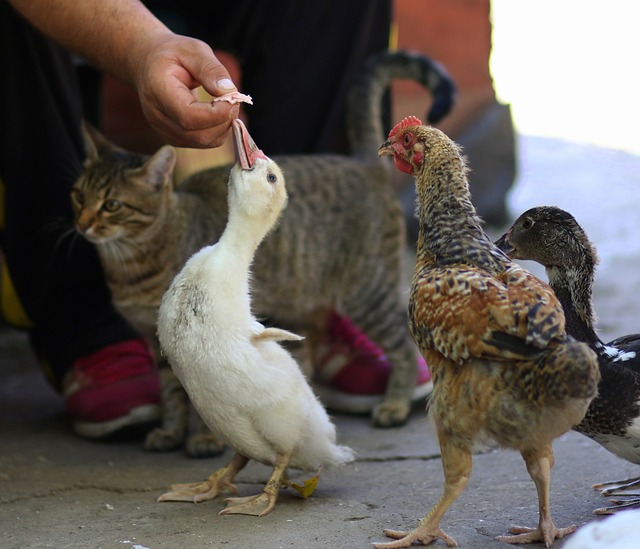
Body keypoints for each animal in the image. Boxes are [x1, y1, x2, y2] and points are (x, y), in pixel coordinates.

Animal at [71, 50, 456, 454]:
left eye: (112, 205)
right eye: (79, 196)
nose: (82, 223)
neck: (129, 263)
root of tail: (364, 163)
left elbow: (198, 402)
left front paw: (205, 439)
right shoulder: (154, 339)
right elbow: (172, 392)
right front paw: (170, 432)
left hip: (367, 291)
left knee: (402, 343)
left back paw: (394, 404)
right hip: (303, 302)